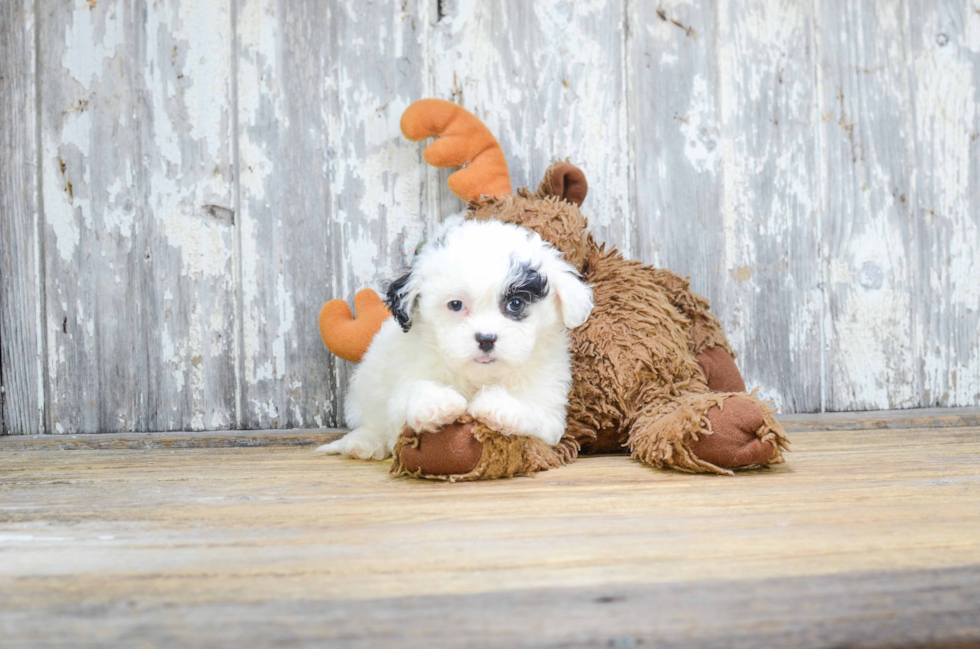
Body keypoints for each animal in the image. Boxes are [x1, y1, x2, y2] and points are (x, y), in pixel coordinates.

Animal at [318, 219, 592, 460]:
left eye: (515, 304)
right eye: (456, 305)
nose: (486, 339)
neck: (478, 377)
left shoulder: (550, 404)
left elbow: (535, 411)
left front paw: (498, 406)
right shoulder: (406, 377)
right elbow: (409, 393)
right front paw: (437, 403)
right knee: (372, 422)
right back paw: (363, 443)